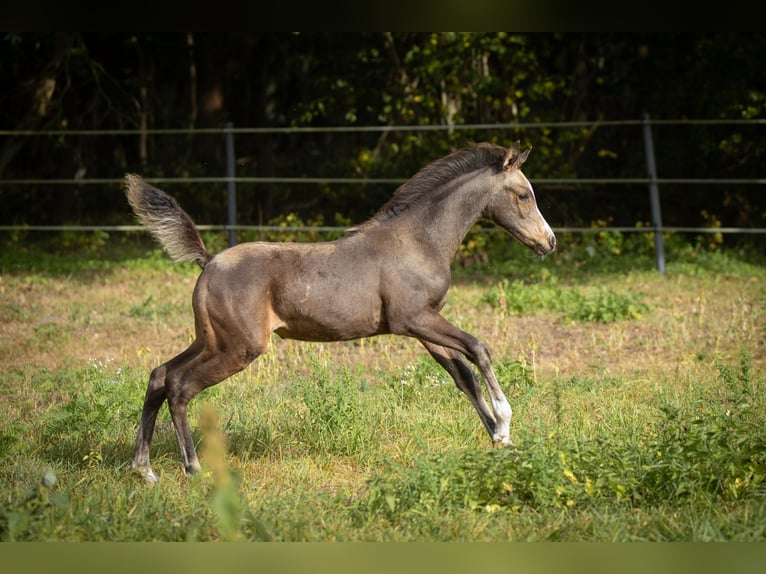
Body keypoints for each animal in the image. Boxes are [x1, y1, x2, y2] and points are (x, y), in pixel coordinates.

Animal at [126, 142, 560, 484]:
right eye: (524, 195)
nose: (550, 241)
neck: (418, 242)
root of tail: (209, 260)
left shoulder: (423, 327)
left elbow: (464, 375)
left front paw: (500, 441)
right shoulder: (413, 320)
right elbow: (478, 348)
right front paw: (504, 422)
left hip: (210, 340)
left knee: (159, 374)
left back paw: (145, 470)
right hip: (238, 348)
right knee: (179, 385)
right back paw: (193, 469)